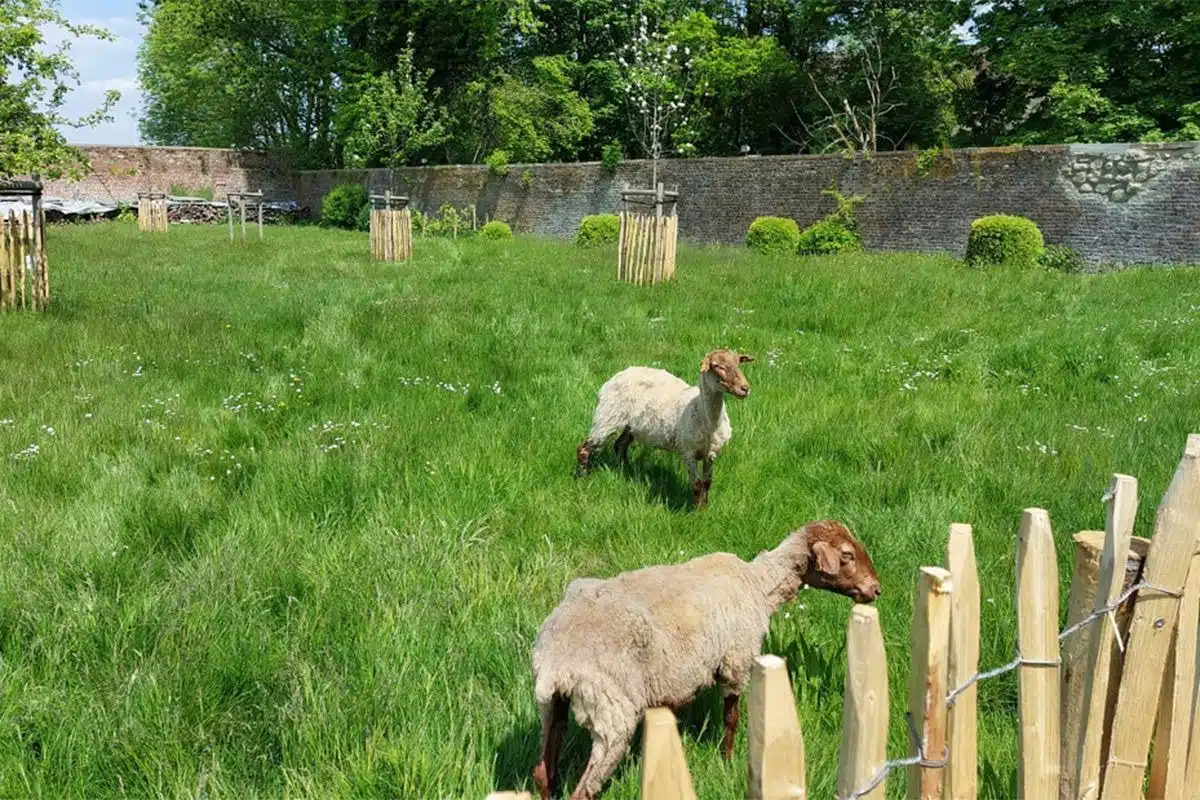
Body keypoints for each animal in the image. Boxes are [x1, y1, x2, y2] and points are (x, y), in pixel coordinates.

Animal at [528, 520, 883, 800]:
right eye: (847, 555)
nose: (877, 589)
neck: (759, 584)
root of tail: (556, 665)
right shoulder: (737, 661)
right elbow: (731, 719)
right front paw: (727, 763)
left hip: (551, 707)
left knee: (544, 773)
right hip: (612, 712)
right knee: (583, 790)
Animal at [576, 347, 753, 506]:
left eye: (739, 363)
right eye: (717, 366)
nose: (745, 388)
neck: (707, 420)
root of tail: (620, 373)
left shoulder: (711, 453)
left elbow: (707, 484)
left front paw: (705, 509)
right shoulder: (687, 452)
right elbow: (697, 486)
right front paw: (698, 513)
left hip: (631, 425)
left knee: (620, 445)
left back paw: (625, 471)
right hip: (607, 416)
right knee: (584, 449)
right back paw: (583, 480)